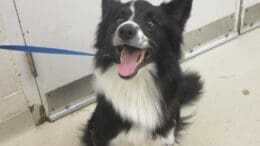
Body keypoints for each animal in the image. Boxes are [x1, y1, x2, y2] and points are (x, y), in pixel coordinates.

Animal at [82, 0, 202, 145]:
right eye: (119, 19)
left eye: (151, 23)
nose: (125, 30)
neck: (136, 84)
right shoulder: (102, 135)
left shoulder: (166, 135)